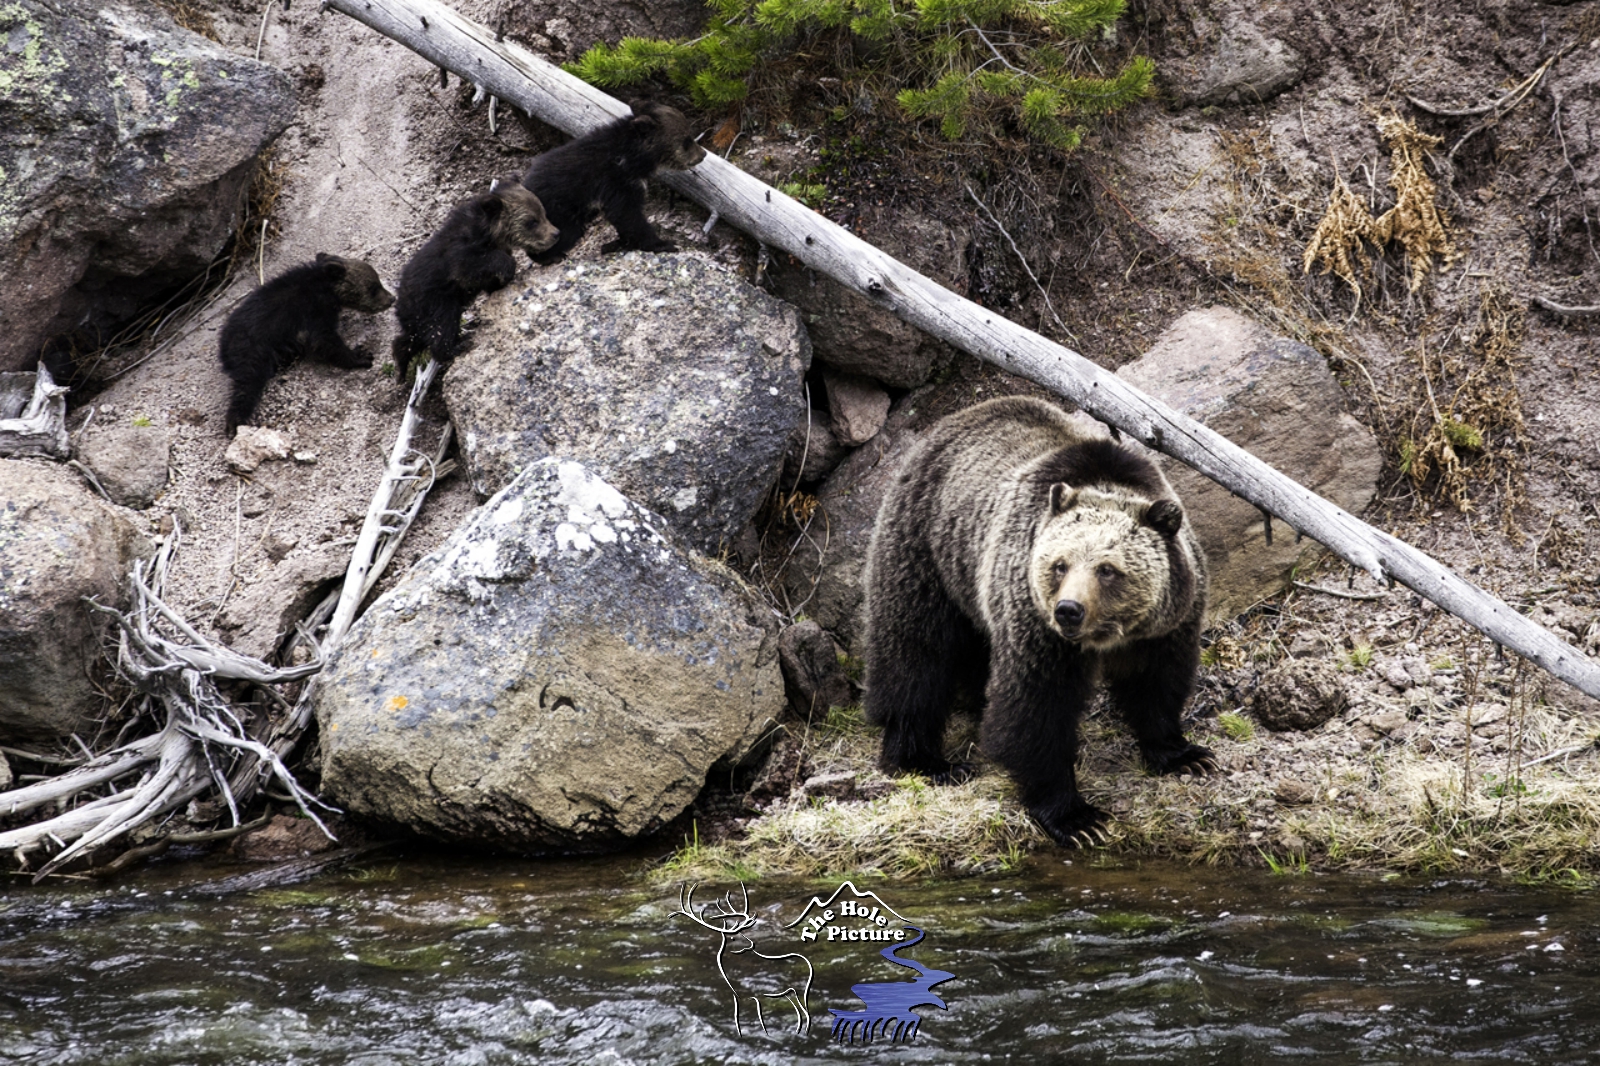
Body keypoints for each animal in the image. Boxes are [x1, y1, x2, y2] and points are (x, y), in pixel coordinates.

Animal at [217, 253, 395, 436]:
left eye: (377, 281)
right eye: (373, 287)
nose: (392, 299)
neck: (326, 290)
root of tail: (223, 348)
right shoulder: (312, 313)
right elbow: (324, 341)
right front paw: (360, 356)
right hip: (253, 349)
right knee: (247, 384)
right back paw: (235, 422)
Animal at [391, 181, 560, 375]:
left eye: (543, 212)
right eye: (532, 221)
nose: (555, 233)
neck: (489, 234)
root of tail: (400, 303)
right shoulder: (459, 253)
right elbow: (472, 266)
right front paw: (508, 270)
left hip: (418, 316)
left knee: (412, 338)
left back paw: (401, 365)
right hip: (434, 302)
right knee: (442, 326)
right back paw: (458, 345)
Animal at [518, 99, 706, 265]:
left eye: (690, 134)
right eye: (687, 140)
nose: (703, 154)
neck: (631, 157)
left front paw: (619, 243)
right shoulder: (615, 180)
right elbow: (627, 214)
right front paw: (663, 243)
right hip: (558, 211)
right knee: (563, 233)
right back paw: (550, 256)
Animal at [862, 396, 1215, 846]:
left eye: (1107, 569)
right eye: (1059, 564)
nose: (1069, 609)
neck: (1109, 635)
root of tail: (953, 420)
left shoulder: (1167, 622)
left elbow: (1157, 682)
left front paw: (1185, 755)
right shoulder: (1037, 624)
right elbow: (1035, 708)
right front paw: (1076, 817)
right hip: (926, 546)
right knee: (915, 653)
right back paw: (926, 760)